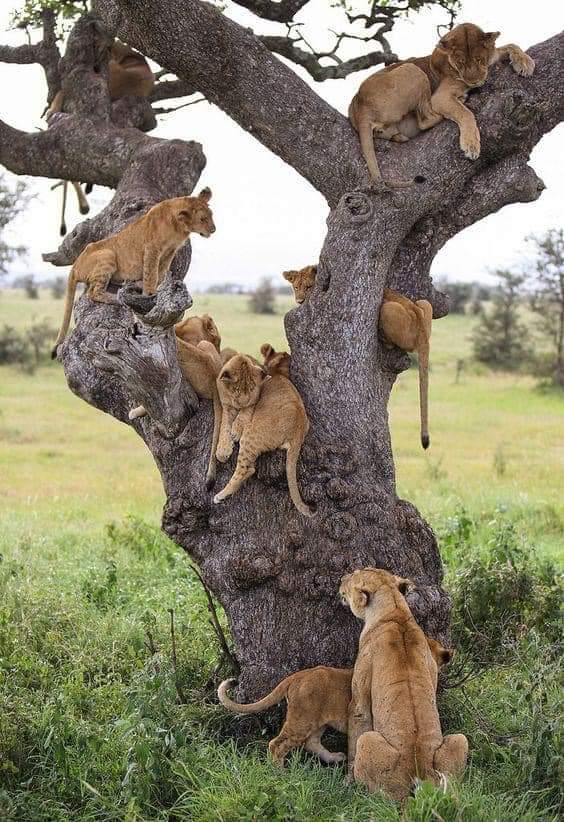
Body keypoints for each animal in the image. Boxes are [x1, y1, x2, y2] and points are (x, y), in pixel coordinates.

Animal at [52, 188, 215, 355]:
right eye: (202, 219)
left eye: (211, 215)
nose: (213, 229)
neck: (178, 228)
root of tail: (75, 266)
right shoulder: (152, 249)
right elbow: (151, 274)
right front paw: (151, 294)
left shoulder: (170, 252)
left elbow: (161, 273)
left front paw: (161, 287)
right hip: (107, 254)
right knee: (94, 292)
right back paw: (118, 298)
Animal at [213, 354, 312, 516]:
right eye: (236, 389)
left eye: (252, 389)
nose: (244, 401)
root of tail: (298, 428)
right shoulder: (227, 406)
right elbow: (224, 425)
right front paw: (222, 450)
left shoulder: (252, 403)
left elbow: (242, 415)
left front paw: (235, 431)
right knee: (251, 469)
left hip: (251, 435)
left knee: (244, 469)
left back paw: (221, 495)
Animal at [218, 636, 453, 768]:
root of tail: (296, 677)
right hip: (301, 718)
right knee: (277, 744)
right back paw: (281, 773)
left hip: (317, 721)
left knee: (311, 742)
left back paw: (335, 758)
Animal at [340, 567, 468, 801]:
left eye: (354, 574)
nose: (341, 578)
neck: (395, 611)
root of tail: (419, 773)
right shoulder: (432, 663)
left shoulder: (360, 697)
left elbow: (357, 720)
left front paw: (347, 778)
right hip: (459, 740)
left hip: (368, 742)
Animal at [350, 23, 534, 186]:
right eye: (460, 62)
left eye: (479, 59)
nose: (474, 82)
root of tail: (359, 106)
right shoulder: (440, 97)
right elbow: (466, 114)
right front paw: (471, 145)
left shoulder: (492, 57)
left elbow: (509, 45)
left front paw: (526, 63)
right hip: (413, 70)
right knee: (424, 121)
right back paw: (460, 101)